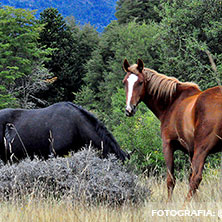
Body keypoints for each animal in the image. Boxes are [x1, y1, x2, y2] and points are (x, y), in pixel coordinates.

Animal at [122, 58, 222, 201]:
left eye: (140, 82)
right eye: (125, 82)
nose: (129, 109)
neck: (171, 102)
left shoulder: (168, 145)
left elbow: (171, 180)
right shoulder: (191, 152)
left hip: (202, 149)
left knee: (196, 178)